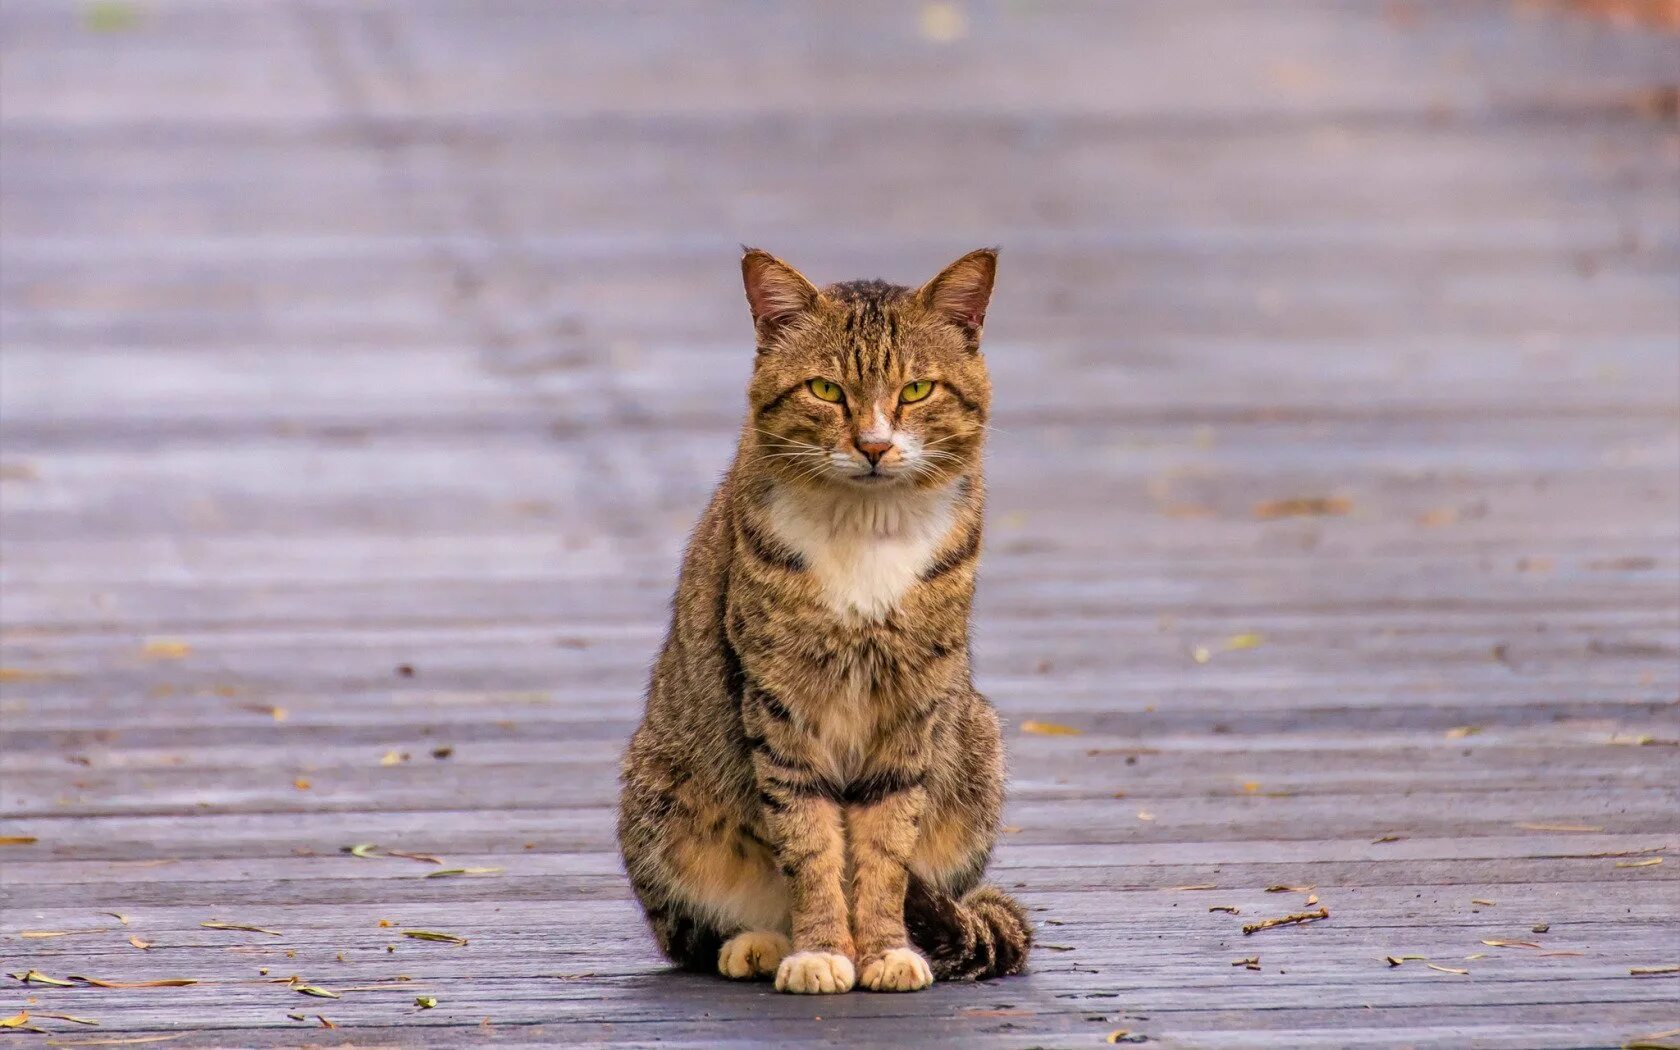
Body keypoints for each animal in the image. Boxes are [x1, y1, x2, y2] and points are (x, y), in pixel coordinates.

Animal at [618, 245, 1028, 987]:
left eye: (916, 391)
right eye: (825, 390)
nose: (873, 445)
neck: (866, 526)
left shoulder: (914, 699)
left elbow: (885, 844)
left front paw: (885, 949)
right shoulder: (779, 697)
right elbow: (809, 840)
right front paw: (821, 950)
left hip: (978, 749)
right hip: (658, 794)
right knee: (691, 931)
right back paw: (760, 944)